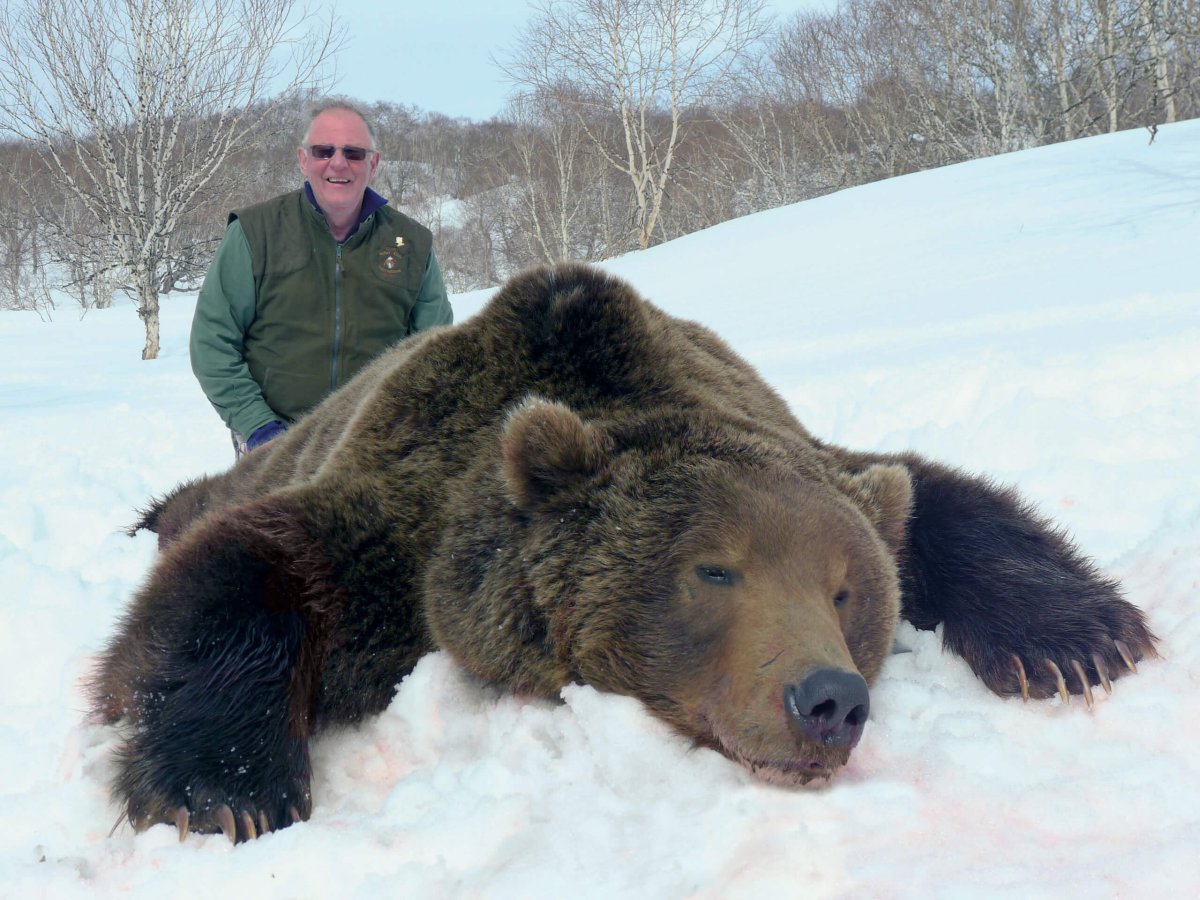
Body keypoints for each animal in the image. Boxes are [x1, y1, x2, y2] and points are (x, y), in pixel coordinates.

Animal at [92, 263, 1156, 843]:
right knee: (198, 507)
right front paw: (224, 789)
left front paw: (1080, 640)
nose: (829, 701)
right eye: (714, 568)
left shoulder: (800, 442)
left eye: (847, 591)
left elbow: (938, 499)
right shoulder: (395, 525)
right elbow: (242, 578)